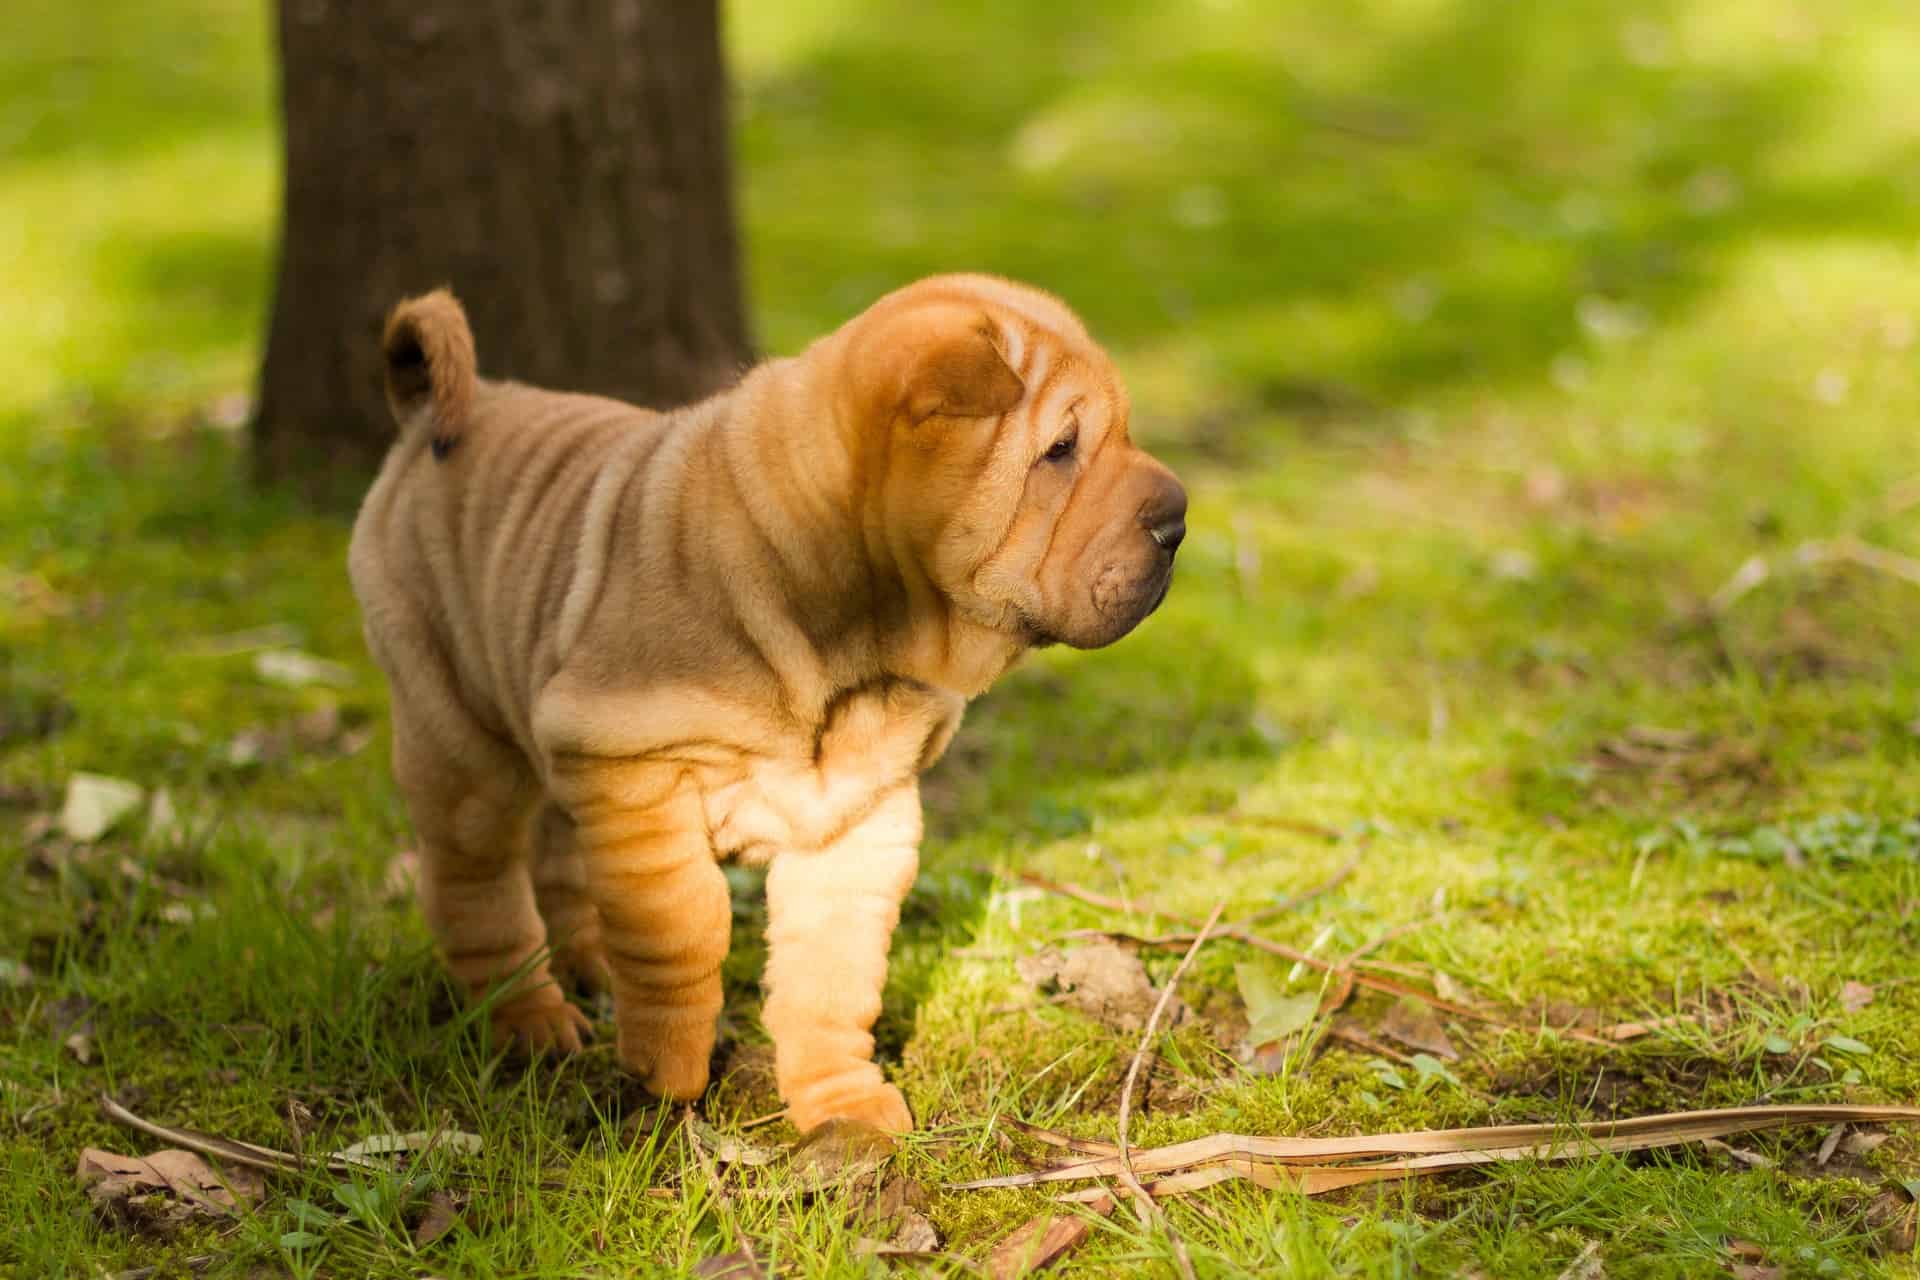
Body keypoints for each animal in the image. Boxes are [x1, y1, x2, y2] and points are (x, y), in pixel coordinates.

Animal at [347, 272, 1182, 1128]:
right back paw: (531, 1020)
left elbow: (835, 974)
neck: (851, 628)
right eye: (1060, 450)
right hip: (460, 737)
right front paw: (667, 1083)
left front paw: (843, 1104)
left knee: (558, 862)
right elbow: (680, 932)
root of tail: (434, 413)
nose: (1177, 520)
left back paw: (587, 970)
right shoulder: (638, 773)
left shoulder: (858, 818)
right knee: (477, 888)